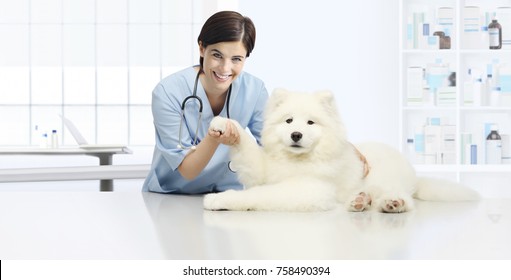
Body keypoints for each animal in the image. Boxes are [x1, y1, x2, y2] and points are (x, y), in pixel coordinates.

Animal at [203, 89, 480, 212]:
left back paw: (391, 203)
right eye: (288, 121)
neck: (297, 160)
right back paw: (360, 201)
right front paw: (224, 125)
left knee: (403, 198)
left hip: (384, 180)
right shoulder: (262, 169)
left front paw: (218, 199)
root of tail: (413, 173)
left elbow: (257, 195)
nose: (296, 135)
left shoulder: (309, 189)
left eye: (310, 123)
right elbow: (248, 151)